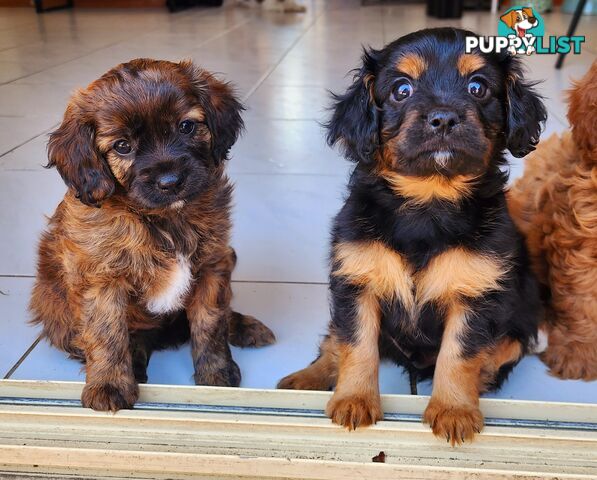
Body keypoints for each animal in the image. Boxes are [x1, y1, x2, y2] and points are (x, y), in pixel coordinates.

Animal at [30, 59, 274, 412]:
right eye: (122, 146)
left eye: (186, 127)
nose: (170, 182)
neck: (162, 220)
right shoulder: (101, 279)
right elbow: (107, 334)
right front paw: (109, 384)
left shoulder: (213, 264)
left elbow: (211, 322)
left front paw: (216, 375)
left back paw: (243, 326)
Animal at [280, 28, 544, 444]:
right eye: (401, 90)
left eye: (478, 87)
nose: (444, 118)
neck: (429, 199)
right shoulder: (356, 280)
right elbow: (356, 344)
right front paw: (353, 400)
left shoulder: (477, 292)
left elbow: (459, 354)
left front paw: (453, 410)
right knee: (332, 342)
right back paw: (306, 378)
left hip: (521, 323)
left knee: (498, 353)